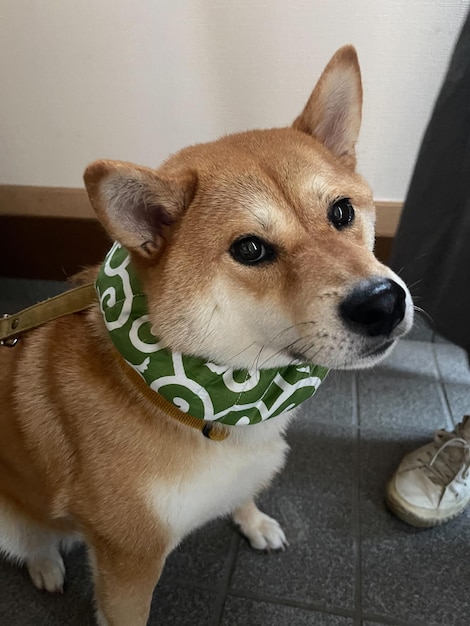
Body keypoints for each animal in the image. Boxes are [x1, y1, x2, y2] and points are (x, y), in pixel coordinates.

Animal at [0, 45, 412, 624]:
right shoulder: (129, 562)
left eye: (342, 211)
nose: (382, 302)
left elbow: (244, 493)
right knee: (32, 538)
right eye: (250, 249)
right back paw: (44, 565)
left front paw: (253, 519)